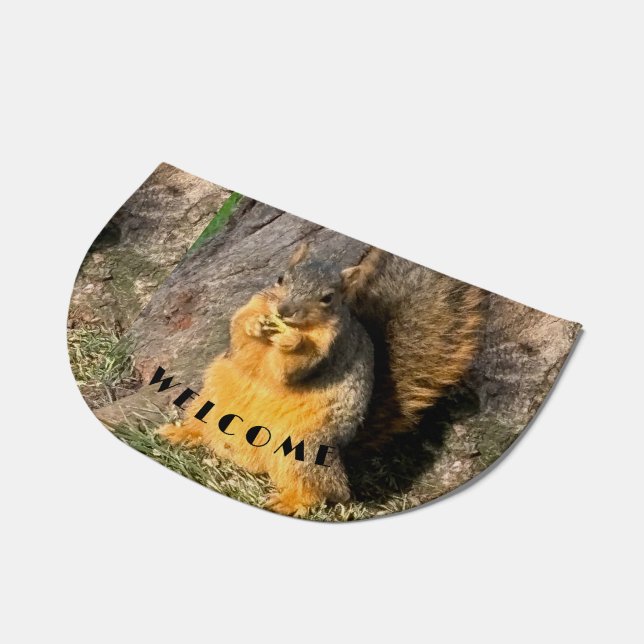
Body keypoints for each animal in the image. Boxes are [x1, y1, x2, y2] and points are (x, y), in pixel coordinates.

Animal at [160, 242, 485, 516]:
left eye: (328, 298)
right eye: (280, 278)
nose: (284, 311)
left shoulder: (330, 348)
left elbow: (291, 368)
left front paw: (293, 344)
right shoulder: (254, 305)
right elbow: (239, 328)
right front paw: (254, 325)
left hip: (303, 450)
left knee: (324, 492)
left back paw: (291, 502)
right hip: (211, 397)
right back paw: (182, 433)